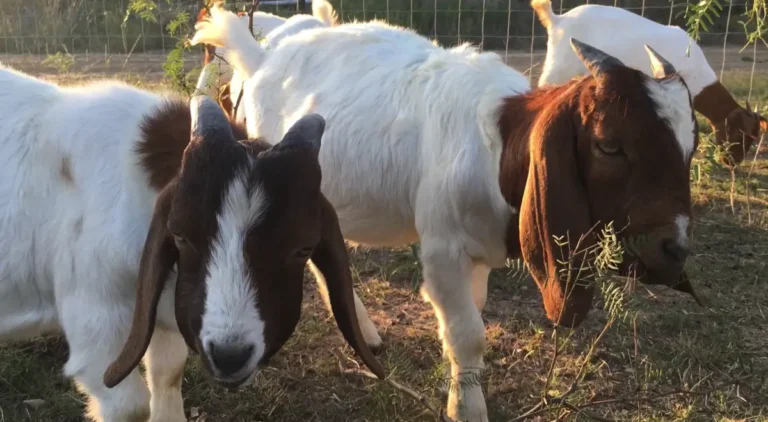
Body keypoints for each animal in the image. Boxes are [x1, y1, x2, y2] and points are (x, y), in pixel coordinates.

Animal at [0, 64, 384, 422]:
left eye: (303, 248)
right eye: (181, 235)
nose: (230, 356)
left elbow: (168, 374)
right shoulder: (96, 319)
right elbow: (129, 404)